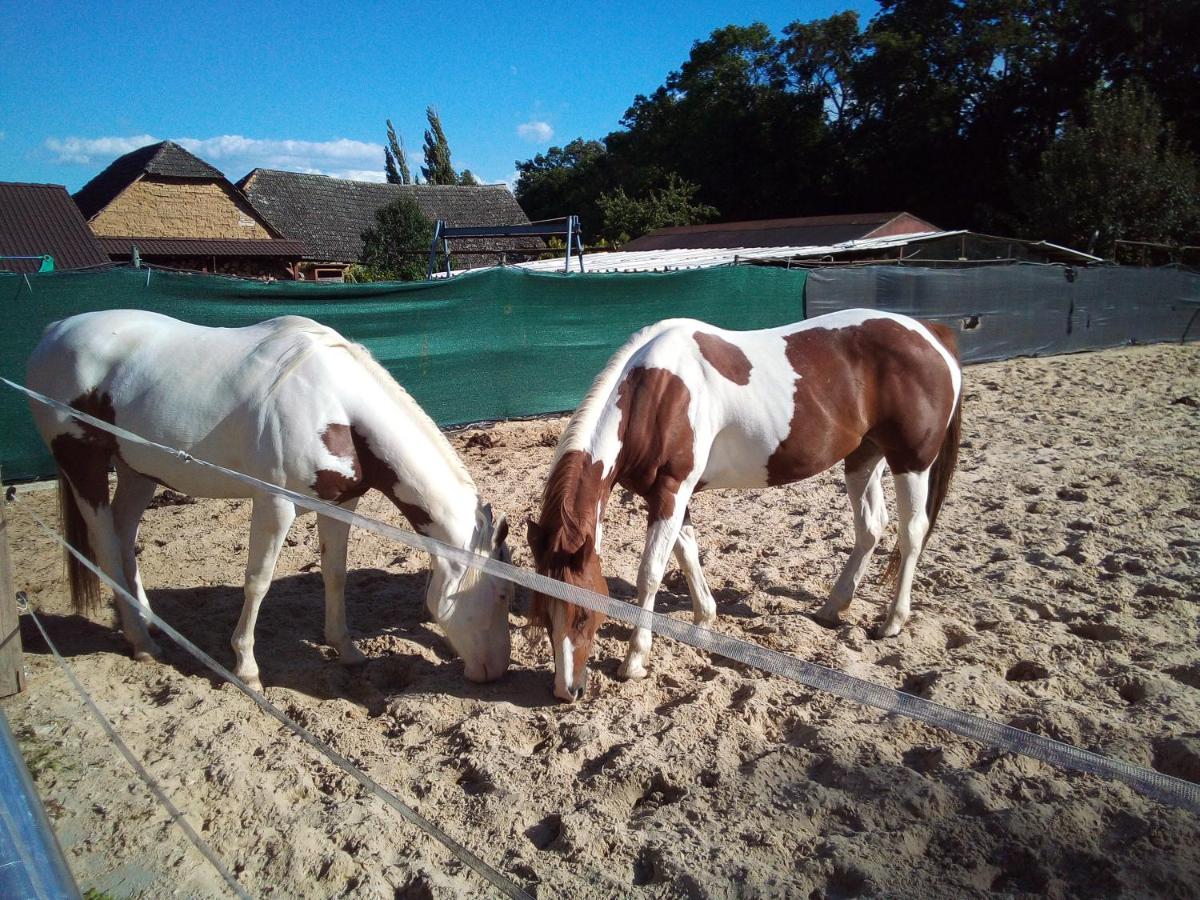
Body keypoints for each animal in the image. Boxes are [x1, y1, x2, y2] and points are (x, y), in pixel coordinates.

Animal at [24, 309, 511, 691]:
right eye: (503, 594)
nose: (497, 672)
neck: (335, 402)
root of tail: (54, 330)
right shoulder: (275, 505)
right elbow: (257, 581)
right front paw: (246, 668)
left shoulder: (341, 504)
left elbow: (335, 574)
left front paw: (347, 649)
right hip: (82, 462)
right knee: (107, 546)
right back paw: (141, 643)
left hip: (137, 469)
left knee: (125, 537)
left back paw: (147, 622)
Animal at [530, 309, 960, 705]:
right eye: (545, 614)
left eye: (583, 614)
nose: (567, 690)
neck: (654, 394)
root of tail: (932, 332)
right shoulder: (668, 496)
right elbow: (688, 554)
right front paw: (704, 620)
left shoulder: (672, 491)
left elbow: (650, 574)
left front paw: (634, 660)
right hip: (863, 458)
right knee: (870, 528)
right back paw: (832, 607)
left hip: (911, 462)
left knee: (912, 533)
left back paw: (892, 622)